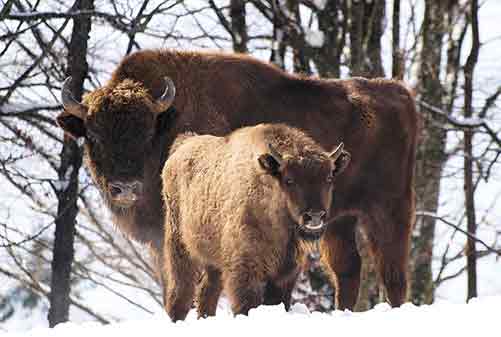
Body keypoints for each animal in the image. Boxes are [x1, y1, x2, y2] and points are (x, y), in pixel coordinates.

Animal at [160, 123, 348, 320]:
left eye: (329, 178)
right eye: (289, 180)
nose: (315, 216)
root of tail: (183, 145)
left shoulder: (285, 274)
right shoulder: (246, 272)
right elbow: (246, 305)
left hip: (213, 260)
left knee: (207, 291)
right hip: (179, 246)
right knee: (181, 291)